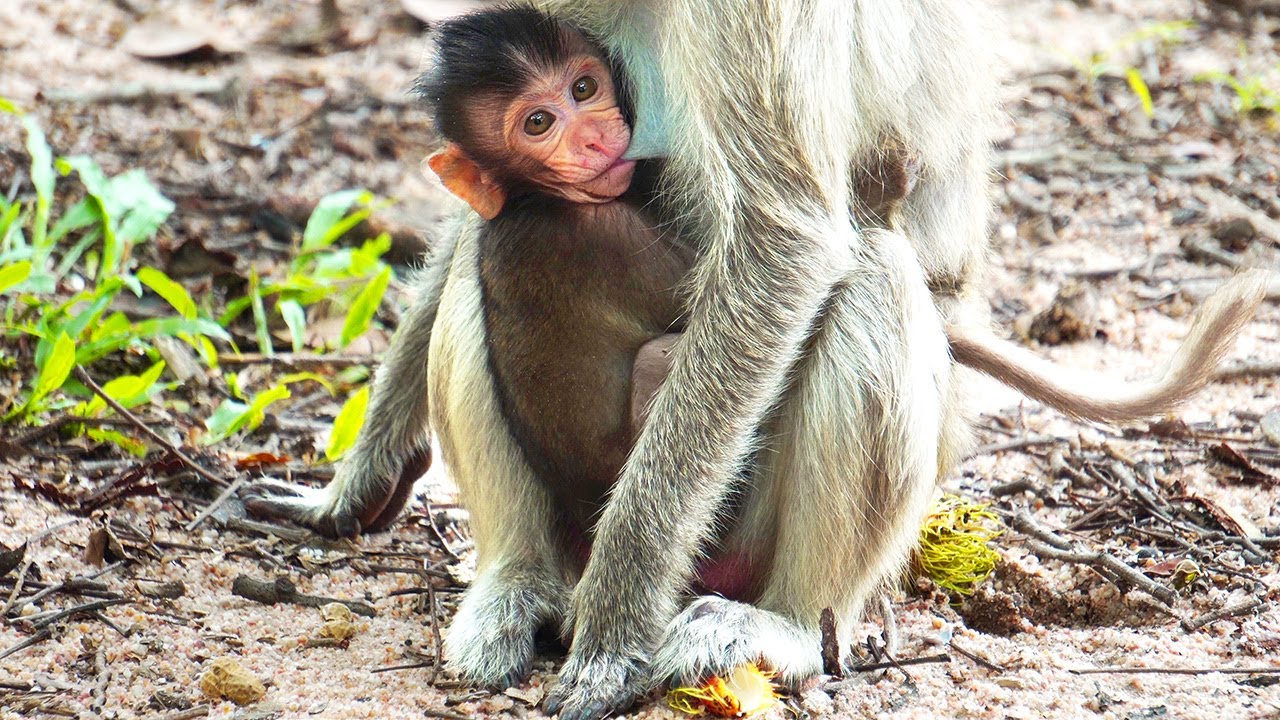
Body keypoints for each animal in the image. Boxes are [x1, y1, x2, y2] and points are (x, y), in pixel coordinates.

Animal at [243, 2, 1268, 718]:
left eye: (585, 92)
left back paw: (786, 627)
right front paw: (357, 478)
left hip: (760, 520)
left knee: (868, 271)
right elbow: (482, 197)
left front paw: (614, 630)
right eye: (540, 119)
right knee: (491, 241)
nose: (593, 136)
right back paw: (519, 581)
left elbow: (787, 238)